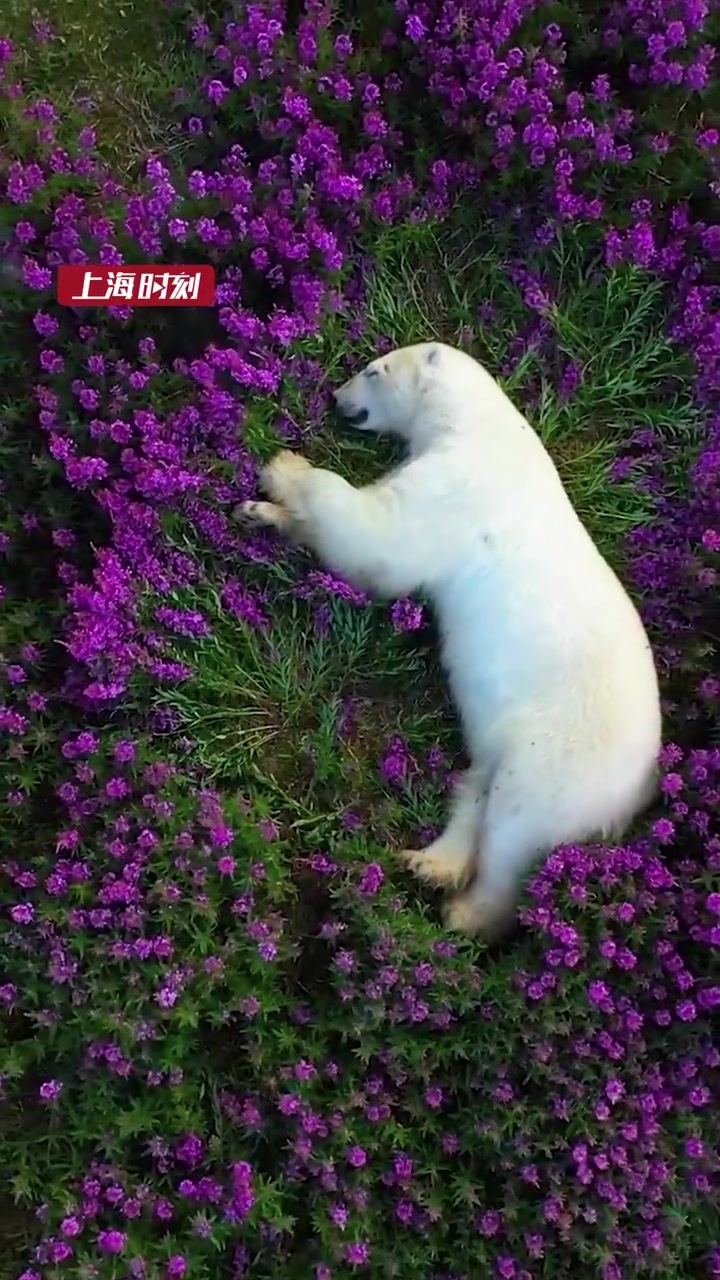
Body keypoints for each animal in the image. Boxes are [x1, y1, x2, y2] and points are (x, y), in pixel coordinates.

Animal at [236, 341, 662, 938]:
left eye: (373, 371)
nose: (336, 397)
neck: (482, 427)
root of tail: (641, 789)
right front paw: (258, 512)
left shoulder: (457, 487)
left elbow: (380, 537)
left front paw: (283, 469)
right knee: (477, 786)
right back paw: (429, 863)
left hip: (563, 758)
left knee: (514, 828)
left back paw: (464, 912)